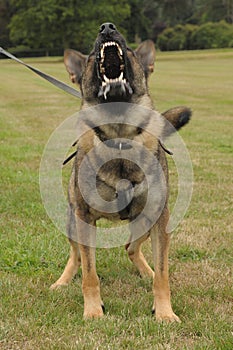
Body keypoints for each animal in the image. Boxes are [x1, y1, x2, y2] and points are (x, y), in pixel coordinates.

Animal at [50, 22, 190, 322]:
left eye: (130, 51)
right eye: (91, 57)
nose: (106, 27)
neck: (120, 136)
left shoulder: (159, 217)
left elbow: (163, 274)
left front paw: (164, 312)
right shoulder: (84, 218)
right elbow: (89, 273)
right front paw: (93, 311)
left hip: (145, 223)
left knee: (131, 248)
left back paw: (146, 272)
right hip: (72, 222)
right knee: (76, 256)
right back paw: (63, 281)